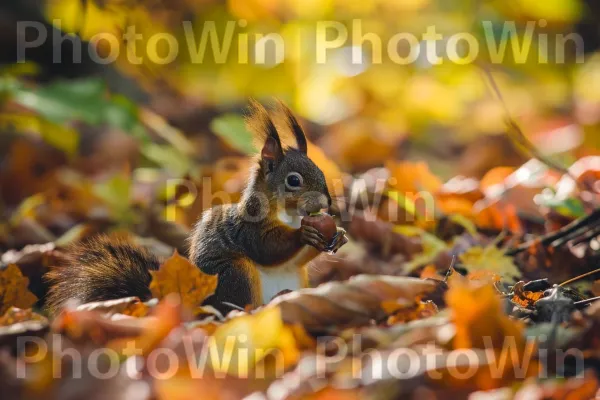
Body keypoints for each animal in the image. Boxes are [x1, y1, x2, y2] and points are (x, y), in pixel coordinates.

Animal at [45, 101, 346, 316]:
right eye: (293, 180)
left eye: (320, 170)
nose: (327, 203)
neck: (289, 215)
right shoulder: (248, 227)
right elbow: (267, 248)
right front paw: (304, 234)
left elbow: (297, 259)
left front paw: (339, 235)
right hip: (234, 274)